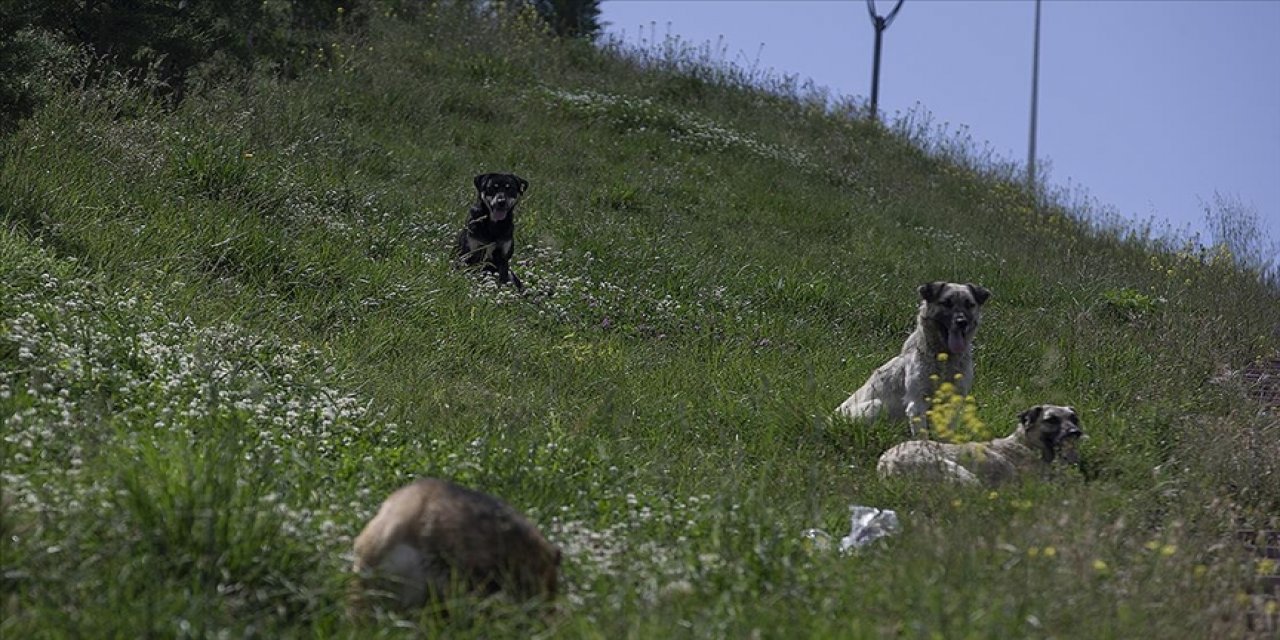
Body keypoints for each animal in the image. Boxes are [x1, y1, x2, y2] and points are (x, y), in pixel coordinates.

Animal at [839, 281, 988, 435]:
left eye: (969, 304)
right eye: (947, 303)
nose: (962, 322)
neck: (944, 359)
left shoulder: (953, 404)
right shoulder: (917, 404)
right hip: (877, 405)